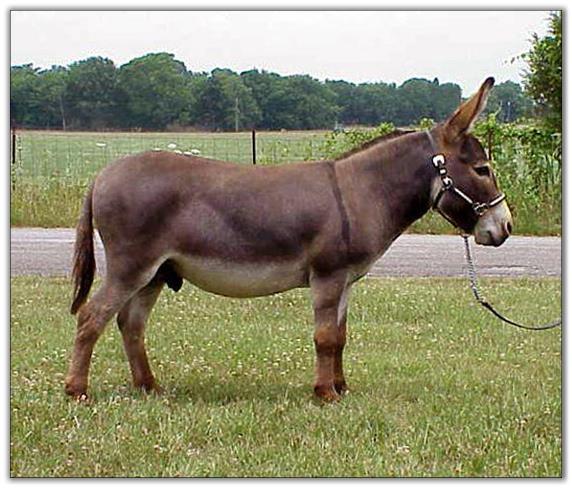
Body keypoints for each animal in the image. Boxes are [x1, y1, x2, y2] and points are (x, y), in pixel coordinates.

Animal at [65, 77, 512, 402]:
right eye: (483, 169)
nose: (506, 227)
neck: (361, 191)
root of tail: (102, 174)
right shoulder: (327, 276)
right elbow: (324, 337)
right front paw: (325, 394)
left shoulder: (345, 280)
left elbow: (340, 336)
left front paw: (341, 388)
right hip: (132, 266)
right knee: (91, 317)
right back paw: (77, 391)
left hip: (156, 272)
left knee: (130, 323)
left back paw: (149, 387)